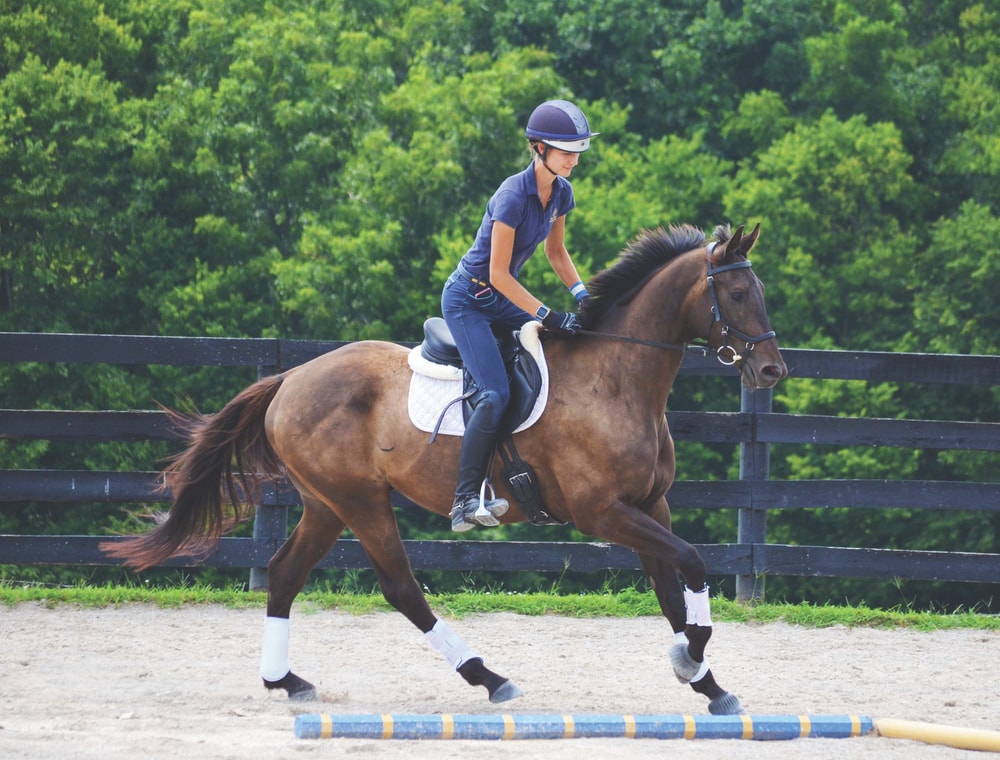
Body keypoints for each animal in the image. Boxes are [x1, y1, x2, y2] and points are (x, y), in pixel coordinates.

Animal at [101, 220, 788, 712]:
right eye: (734, 293)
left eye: (759, 292)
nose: (772, 370)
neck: (616, 378)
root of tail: (291, 378)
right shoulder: (603, 513)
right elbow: (692, 565)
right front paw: (692, 658)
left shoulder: (649, 506)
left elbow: (674, 589)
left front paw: (708, 683)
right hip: (360, 501)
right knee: (402, 588)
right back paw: (487, 677)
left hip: (325, 504)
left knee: (284, 573)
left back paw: (287, 682)